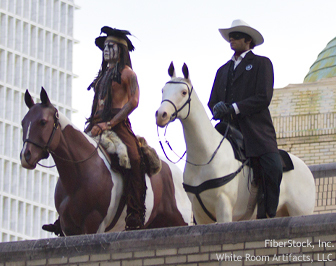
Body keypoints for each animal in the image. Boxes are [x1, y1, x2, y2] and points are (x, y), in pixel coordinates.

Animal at [20, 88, 192, 236]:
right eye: (23, 122)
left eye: (43, 122)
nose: (26, 156)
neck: (79, 174)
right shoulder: (68, 228)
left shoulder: (94, 224)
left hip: (179, 222)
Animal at [156, 62, 316, 224]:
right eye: (163, 90)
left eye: (183, 92)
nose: (161, 115)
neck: (205, 156)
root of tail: (305, 168)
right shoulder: (200, 214)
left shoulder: (224, 208)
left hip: (300, 212)